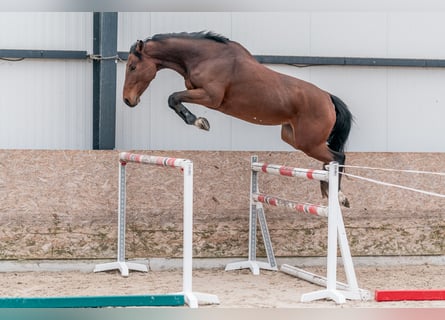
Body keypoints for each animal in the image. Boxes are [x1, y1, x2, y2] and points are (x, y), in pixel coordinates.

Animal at [123, 31, 352, 208]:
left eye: (132, 67)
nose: (128, 100)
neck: (204, 57)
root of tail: (328, 98)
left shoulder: (211, 97)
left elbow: (173, 97)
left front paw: (199, 121)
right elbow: (174, 99)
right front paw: (199, 121)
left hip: (308, 142)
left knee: (337, 157)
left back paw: (340, 196)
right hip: (293, 138)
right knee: (328, 161)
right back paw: (327, 191)